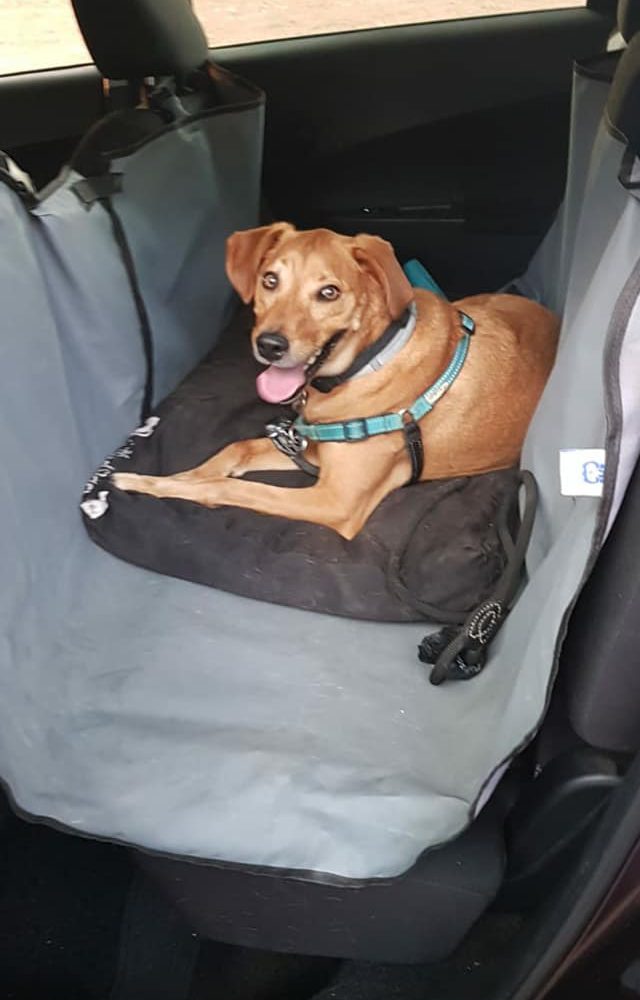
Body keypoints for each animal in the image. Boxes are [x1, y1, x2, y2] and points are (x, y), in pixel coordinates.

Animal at [113, 224, 559, 539]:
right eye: (270, 280)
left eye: (329, 292)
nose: (269, 345)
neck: (367, 363)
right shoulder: (308, 450)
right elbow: (232, 451)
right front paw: (174, 479)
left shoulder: (335, 501)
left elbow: (230, 488)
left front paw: (152, 485)